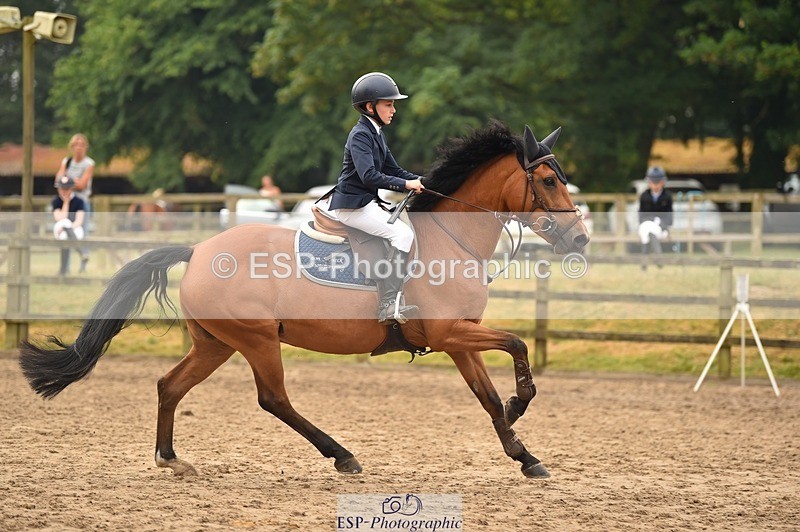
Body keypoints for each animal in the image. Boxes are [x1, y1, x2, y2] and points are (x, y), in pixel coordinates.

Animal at [19, 121, 589, 479]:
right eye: (546, 180)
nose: (580, 239)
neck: (452, 238)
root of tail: (199, 249)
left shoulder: (457, 340)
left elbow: (487, 396)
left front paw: (524, 453)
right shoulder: (452, 333)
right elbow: (517, 345)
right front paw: (520, 406)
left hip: (215, 343)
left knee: (170, 386)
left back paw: (170, 458)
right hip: (255, 339)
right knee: (273, 399)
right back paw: (342, 456)